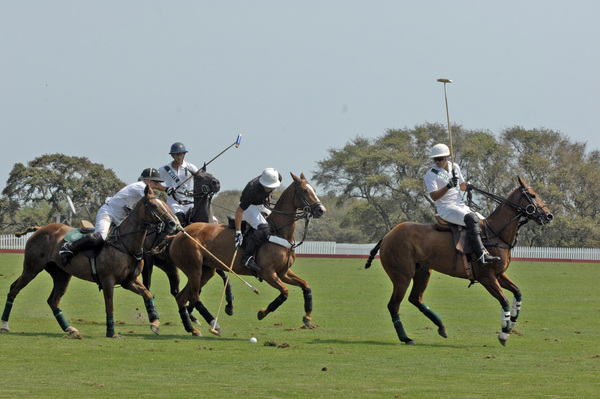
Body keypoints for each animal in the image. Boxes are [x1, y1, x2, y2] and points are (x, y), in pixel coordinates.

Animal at [0, 186, 180, 340]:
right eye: (154, 205)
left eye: (165, 204)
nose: (173, 224)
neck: (125, 244)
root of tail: (40, 229)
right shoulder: (108, 280)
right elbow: (110, 306)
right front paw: (111, 332)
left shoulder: (129, 281)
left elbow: (148, 294)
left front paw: (155, 322)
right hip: (32, 268)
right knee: (14, 289)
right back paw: (5, 325)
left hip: (62, 274)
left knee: (53, 300)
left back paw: (70, 329)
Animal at [166, 173, 326, 338]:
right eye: (305, 191)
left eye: (314, 190)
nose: (321, 210)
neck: (279, 232)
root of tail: (179, 234)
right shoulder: (268, 273)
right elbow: (285, 292)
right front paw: (262, 313)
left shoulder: (283, 272)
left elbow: (306, 285)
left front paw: (307, 318)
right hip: (194, 269)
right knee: (193, 296)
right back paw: (213, 325)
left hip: (206, 270)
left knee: (181, 297)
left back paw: (192, 328)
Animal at [360, 178, 552, 346]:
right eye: (533, 195)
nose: (549, 216)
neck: (495, 233)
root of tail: (386, 236)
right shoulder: (486, 277)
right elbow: (504, 300)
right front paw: (504, 333)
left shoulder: (499, 274)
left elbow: (517, 293)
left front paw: (510, 323)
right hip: (402, 275)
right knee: (394, 305)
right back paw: (406, 338)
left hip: (423, 271)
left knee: (415, 298)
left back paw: (441, 327)